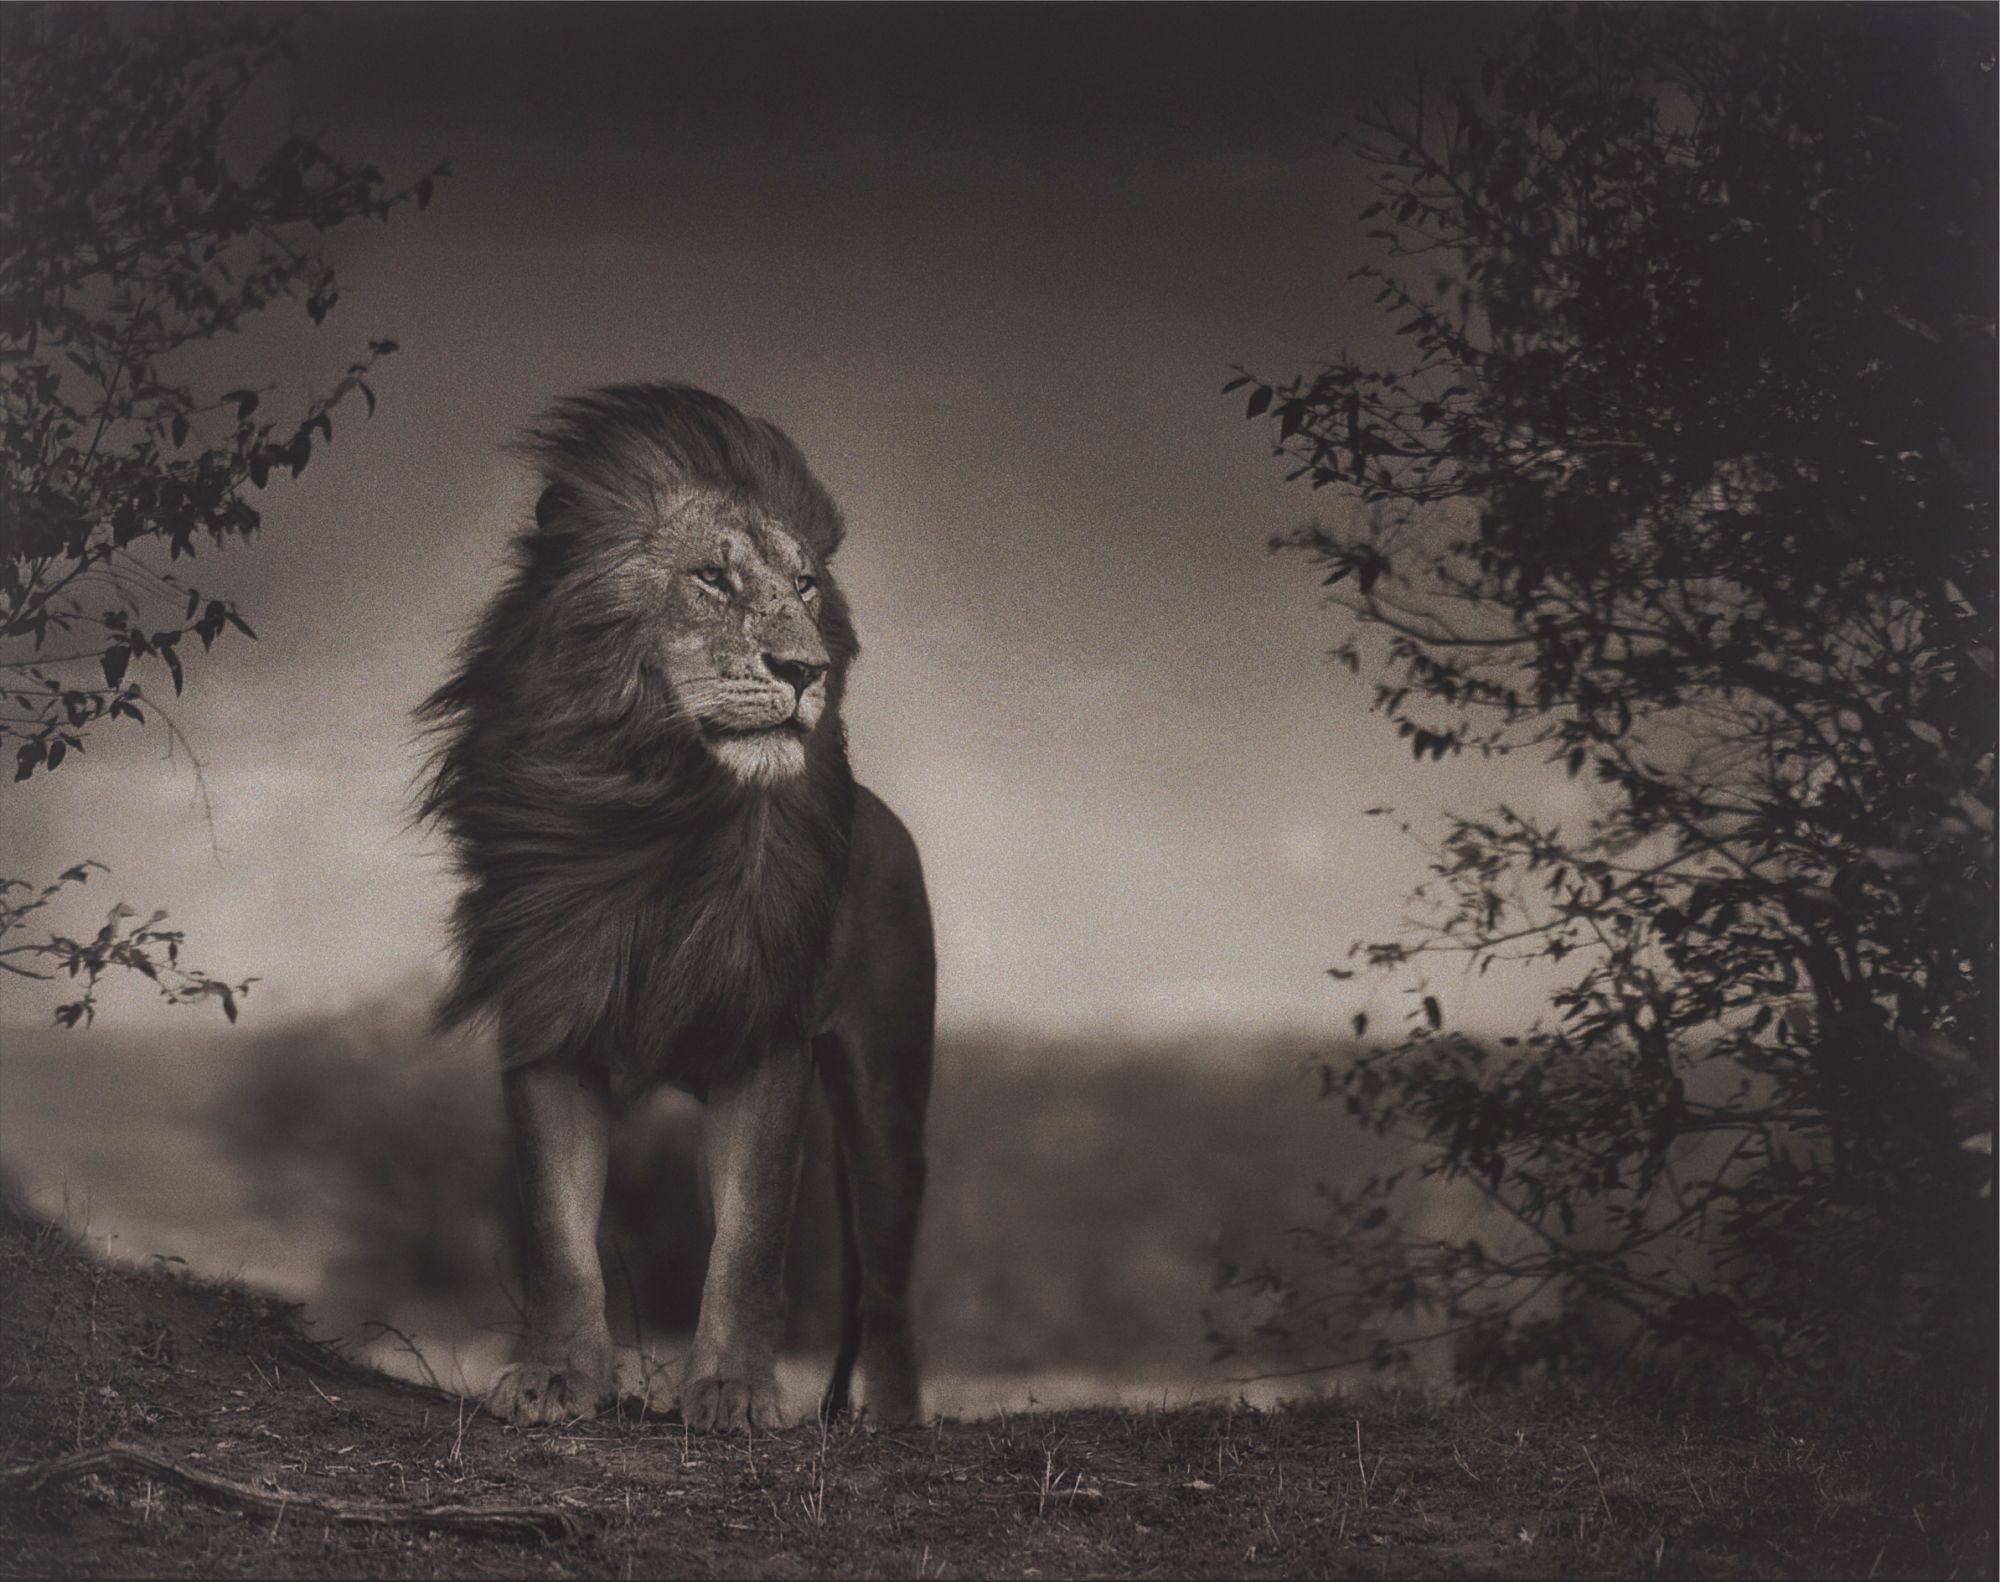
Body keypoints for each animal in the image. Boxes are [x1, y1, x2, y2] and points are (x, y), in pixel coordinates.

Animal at [417, 384, 934, 1432]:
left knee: (890, 1289)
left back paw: (893, 1425)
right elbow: (559, 1231)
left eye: (806, 587)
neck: (655, 817)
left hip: (889, 1104)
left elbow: (749, 1242)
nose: (806, 671)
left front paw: (733, 1391)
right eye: (711, 579)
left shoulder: (769, 1040)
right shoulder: (549, 1023)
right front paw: (556, 1376)